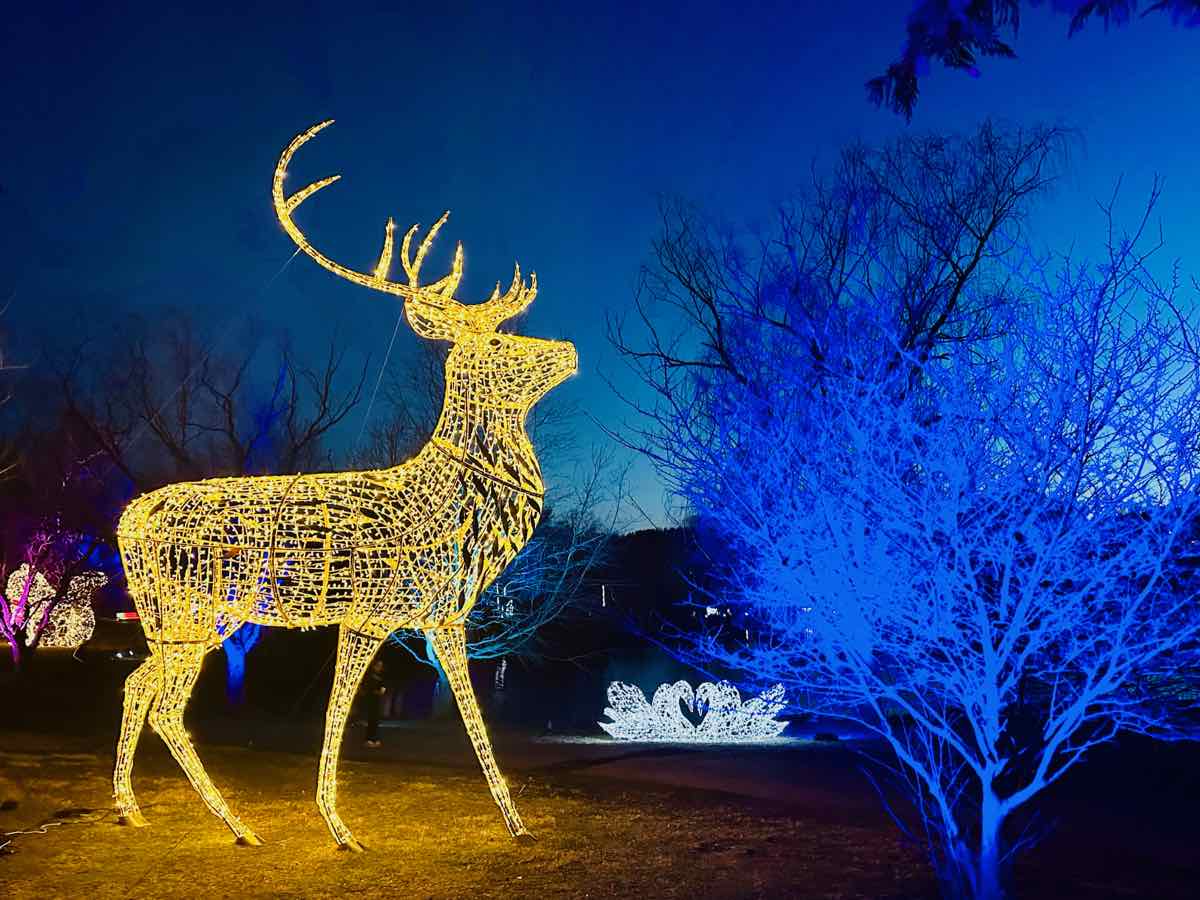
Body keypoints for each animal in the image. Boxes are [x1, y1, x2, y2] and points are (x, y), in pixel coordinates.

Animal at [112, 121, 576, 854]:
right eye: (503, 345)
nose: (570, 352)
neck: (466, 510)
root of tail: (128, 519)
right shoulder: (393, 611)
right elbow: (359, 709)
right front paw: (346, 828)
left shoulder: (413, 617)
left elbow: (420, 712)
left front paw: (512, 823)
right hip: (193, 610)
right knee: (165, 706)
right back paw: (240, 826)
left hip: (172, 617)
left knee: (134, 683)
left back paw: (131, 808)